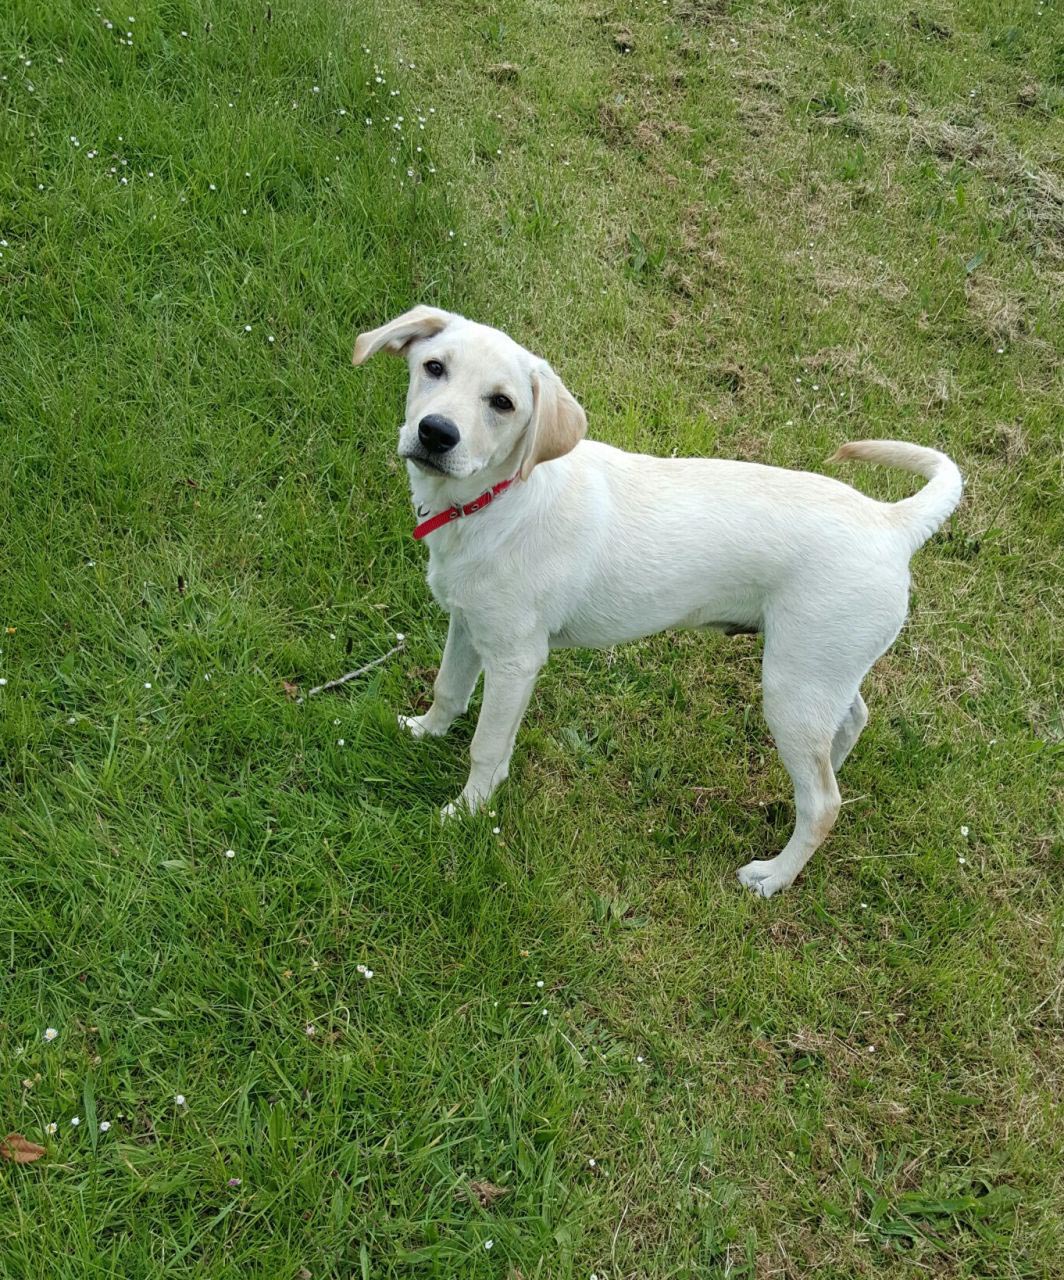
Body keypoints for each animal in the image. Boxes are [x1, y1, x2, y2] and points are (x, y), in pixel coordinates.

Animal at [353, 304, 962, 896]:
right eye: (434, 368)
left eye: (502, 403)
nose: (436, 433)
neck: (496, 500)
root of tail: (892, 522)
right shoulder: (467, 623)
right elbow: (449, 690)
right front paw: (424, 732)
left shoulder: (515, 660)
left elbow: (486, 746)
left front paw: (465, 813)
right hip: (821, 672)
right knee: (848, 725)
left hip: (793, 684)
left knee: (823, 804)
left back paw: (774, 875)